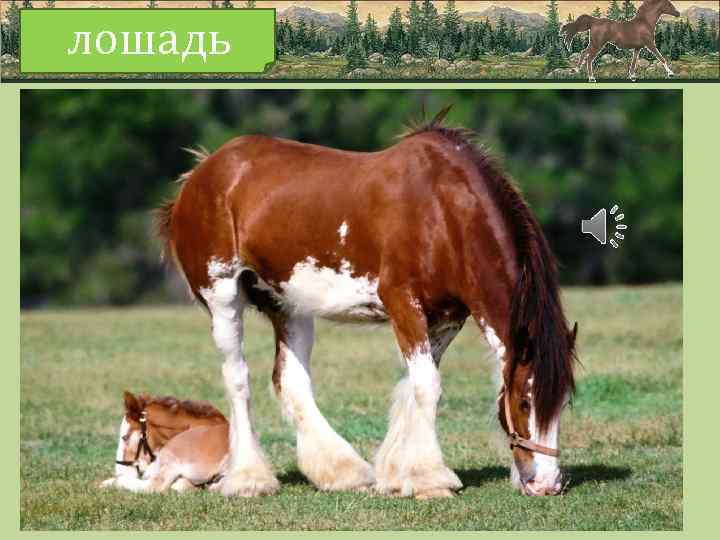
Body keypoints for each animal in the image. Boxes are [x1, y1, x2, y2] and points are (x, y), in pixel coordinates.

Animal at [154, 106, 578, 499]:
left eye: (563, 403)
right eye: (525, 403)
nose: (547, 484)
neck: (443, 211)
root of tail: (199, 175)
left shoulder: (446, 319)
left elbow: (412, 385)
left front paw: (397, 473)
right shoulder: (403, 303)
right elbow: (427, 386)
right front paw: (431, 480)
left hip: (289, 306)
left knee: (290, 381)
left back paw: (343, 472)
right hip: (223, 296)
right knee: (237, 377)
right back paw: (249, 478)